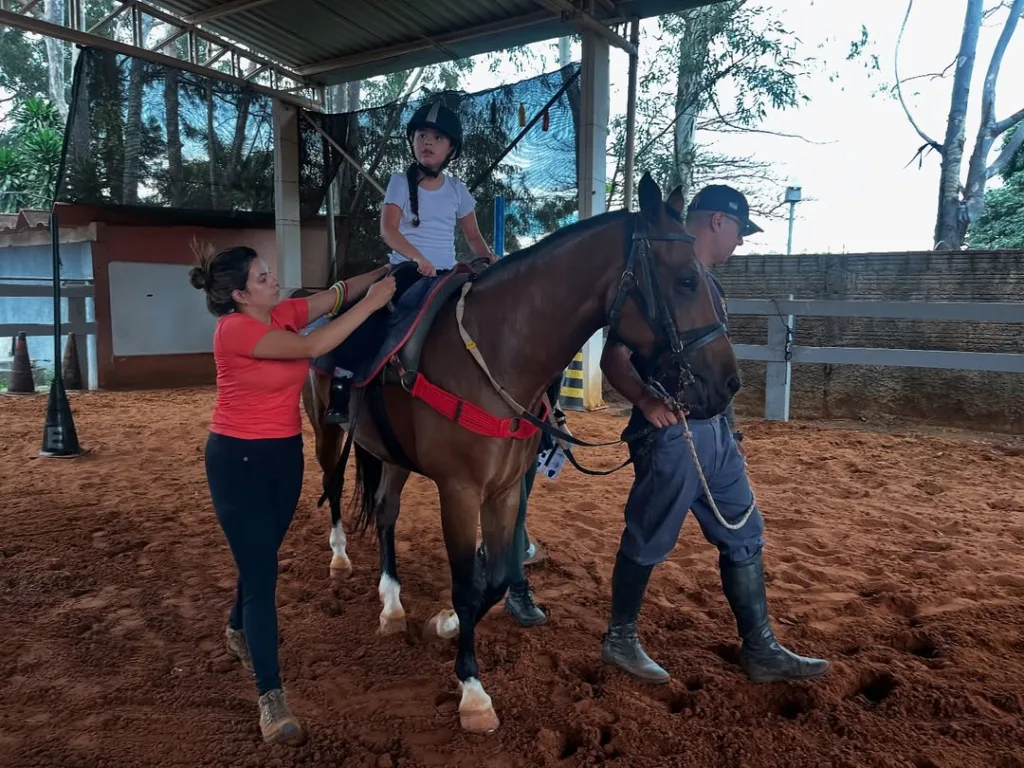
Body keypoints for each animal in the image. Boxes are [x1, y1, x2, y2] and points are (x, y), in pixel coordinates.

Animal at [299, 173, 741, 733]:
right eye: (685, 280)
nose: (727, 383)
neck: (498, 352)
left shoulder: (506, 489)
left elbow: (495, 578)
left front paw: (445, 622)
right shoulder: (459, 491)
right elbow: (466, 583)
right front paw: (472, 692)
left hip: (393, 455)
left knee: (384, 512)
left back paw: (392, 606)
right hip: (327, 431)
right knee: (334, 488)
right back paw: (339, 559)